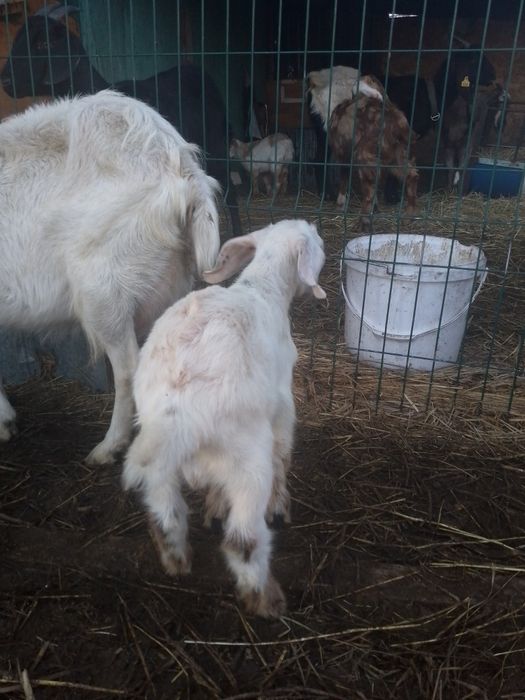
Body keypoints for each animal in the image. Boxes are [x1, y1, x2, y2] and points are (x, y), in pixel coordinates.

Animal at [122, 219, 326, 618]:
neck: (262, 289)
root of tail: (178, 406)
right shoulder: (283, 405)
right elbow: (283, 455)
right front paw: (280, 508)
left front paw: (213, 509)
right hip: (247, 462)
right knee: (243, 539)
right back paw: (267, 600)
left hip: (157, 454)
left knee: (165, 511)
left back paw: (177, 560)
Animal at [327, 75, 418, 229]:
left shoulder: (344, 157)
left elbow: (344, 181)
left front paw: (340, 207)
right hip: (398, 157)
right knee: (412, 177)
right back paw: (408, 217)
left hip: (364, 157)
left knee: (368, 191)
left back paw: (363, 223)